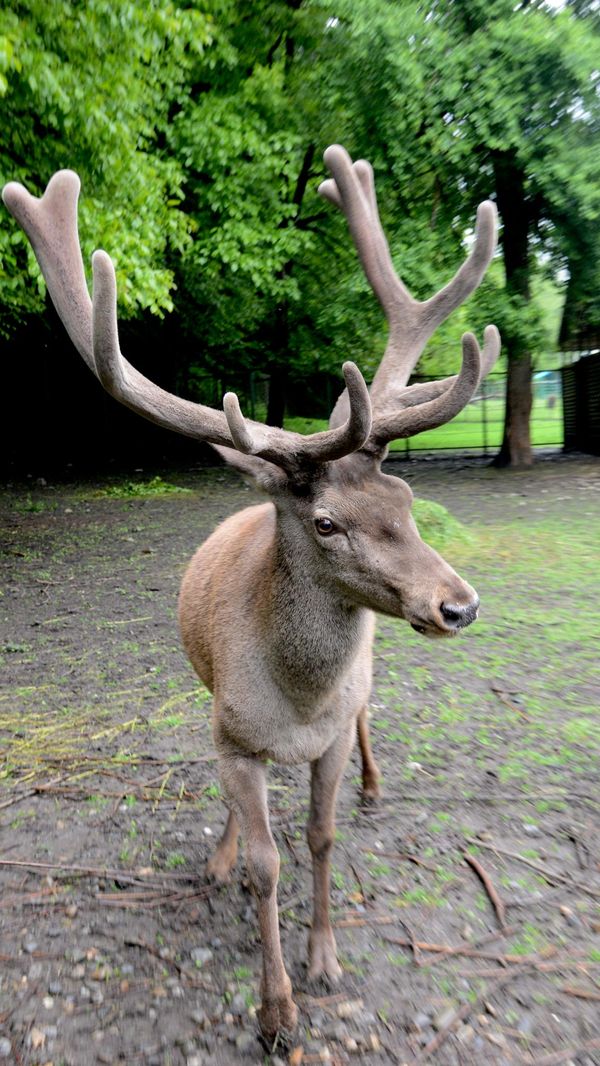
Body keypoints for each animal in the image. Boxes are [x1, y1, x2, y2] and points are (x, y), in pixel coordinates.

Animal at [2, 144, 499, 1042]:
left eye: (407, 500)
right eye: (328, 522)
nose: (458, 603)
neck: (298, 705)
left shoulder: (331, 735)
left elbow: (322, 836)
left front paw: (325, 963)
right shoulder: (233, 737)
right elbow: (269, 861)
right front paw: (274, 1007)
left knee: (368, 718)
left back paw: (375, 788)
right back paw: (223, 858)